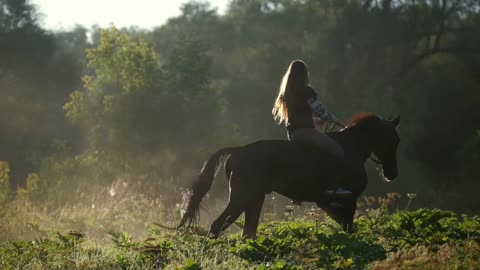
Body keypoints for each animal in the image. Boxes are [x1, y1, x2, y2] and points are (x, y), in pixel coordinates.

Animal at [176, 113, 402, 238]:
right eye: (394, 139)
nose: (392, 174)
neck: (352, 149)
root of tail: (239, 150)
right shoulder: (346, 201)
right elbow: (349, 228)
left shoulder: (330, 203)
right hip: (241, 198)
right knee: (218, 226)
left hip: (254, 200)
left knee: (247, 233)